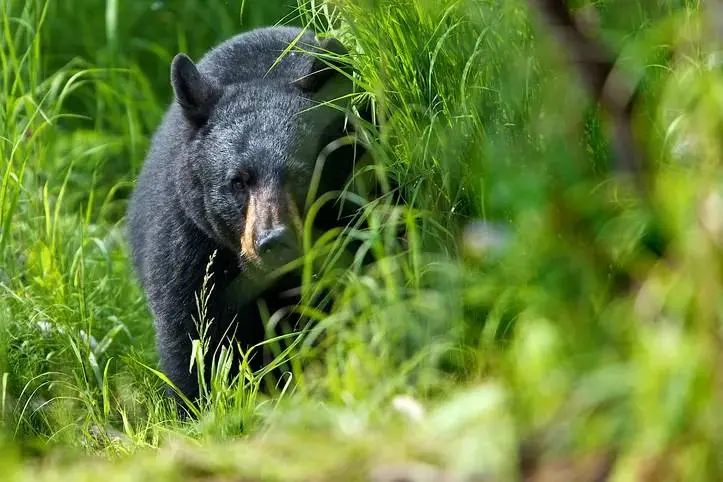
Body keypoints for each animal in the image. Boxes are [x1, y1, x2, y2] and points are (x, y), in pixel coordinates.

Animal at [127, 26, 364, 409]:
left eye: (301, 175)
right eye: (238, 181)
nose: (273, 241)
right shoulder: (191, 242)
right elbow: (189, 332)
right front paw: (195, 406)